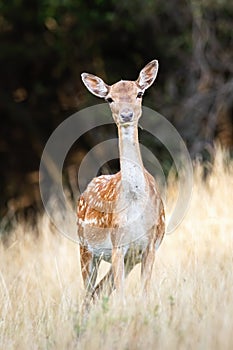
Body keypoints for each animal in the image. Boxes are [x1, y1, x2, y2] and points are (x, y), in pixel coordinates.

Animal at [77, 59, 165, 298]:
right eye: (110, 98)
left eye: (139, 93)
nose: (126, 115)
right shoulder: (118, 244)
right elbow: (123, 296)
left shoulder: (149, 245)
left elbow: (144, 293)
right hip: (84, 247)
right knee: (88, 294)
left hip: (128, 259)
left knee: (99, 291)